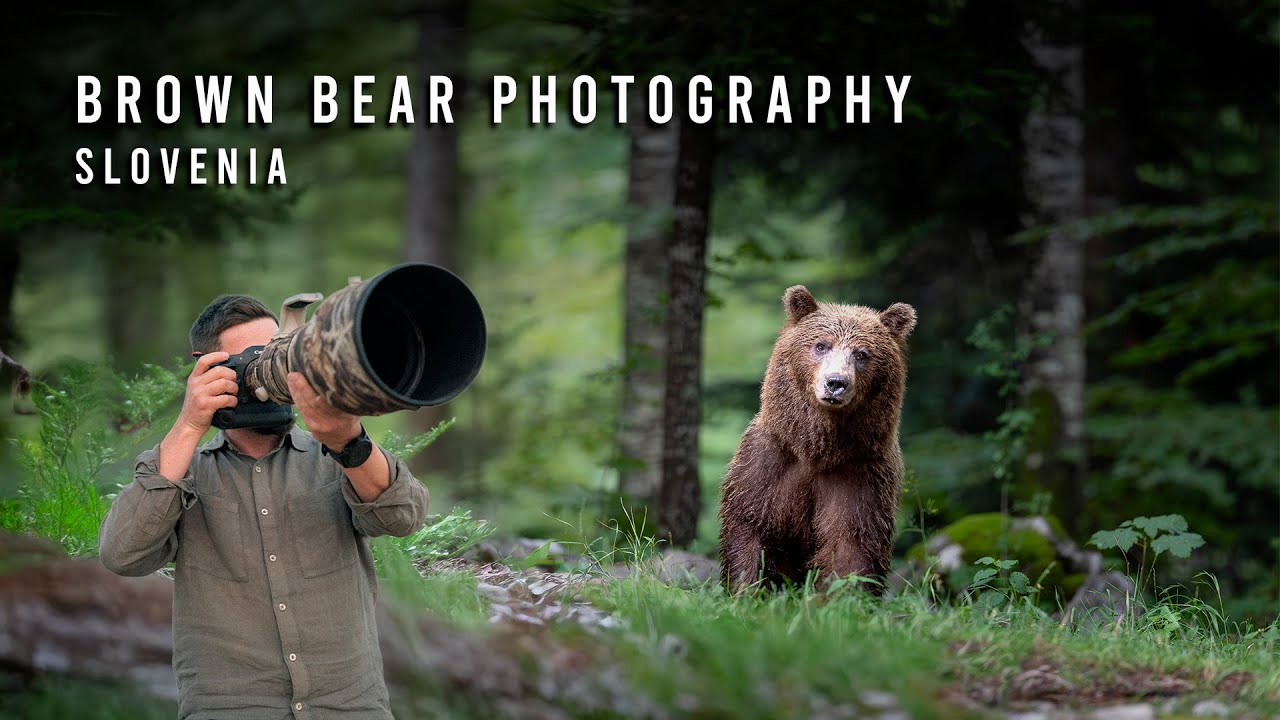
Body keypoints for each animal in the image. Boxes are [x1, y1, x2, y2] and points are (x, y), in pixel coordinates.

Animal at [718, 285, 916, 593]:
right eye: (821, 345)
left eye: (862, 353)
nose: (835, 382)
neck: (817, 449)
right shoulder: (768, 463)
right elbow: (750, 527)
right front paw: (745, 588)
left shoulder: (861, 474)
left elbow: (852, 543)